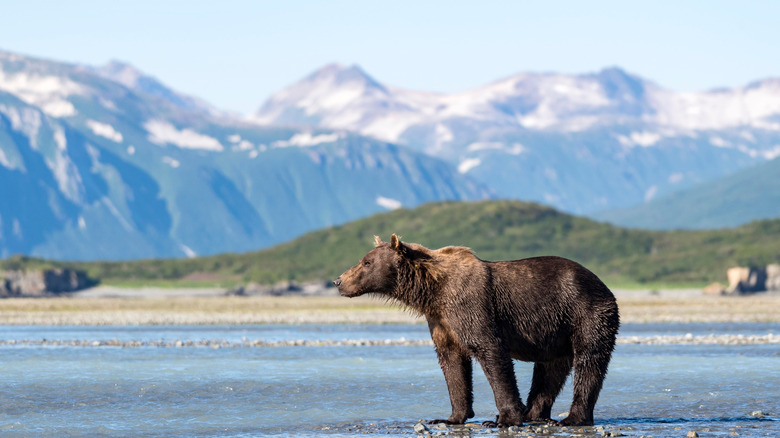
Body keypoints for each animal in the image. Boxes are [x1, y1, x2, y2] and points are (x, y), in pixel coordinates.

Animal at [332, 234, 620, 426]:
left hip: (586, 312)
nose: (338, 281)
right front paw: (449, 417)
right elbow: (452, 363)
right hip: (556, 331)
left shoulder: (470, 306)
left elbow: (490, 351)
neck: (433, 291)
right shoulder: (442, 320)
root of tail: (604, 285)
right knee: (550, 370)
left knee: (589, 361)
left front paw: (504, 418)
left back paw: (572, 418)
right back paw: (535, 414)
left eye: (366, 262)